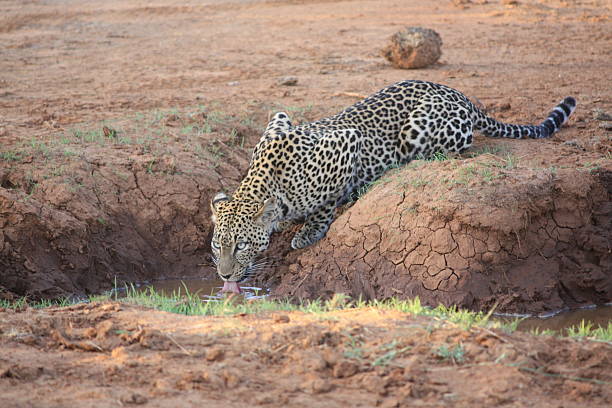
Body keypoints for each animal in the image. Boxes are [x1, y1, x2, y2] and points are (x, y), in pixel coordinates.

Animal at [208, 79, 576, 292]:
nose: (224, 277)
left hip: (421, 129)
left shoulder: (347, 142)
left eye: (241, 245)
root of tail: (462, 96)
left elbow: (325, 203)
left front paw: (309, 230)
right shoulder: (280, 118)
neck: (268, 181)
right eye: (216, 245)